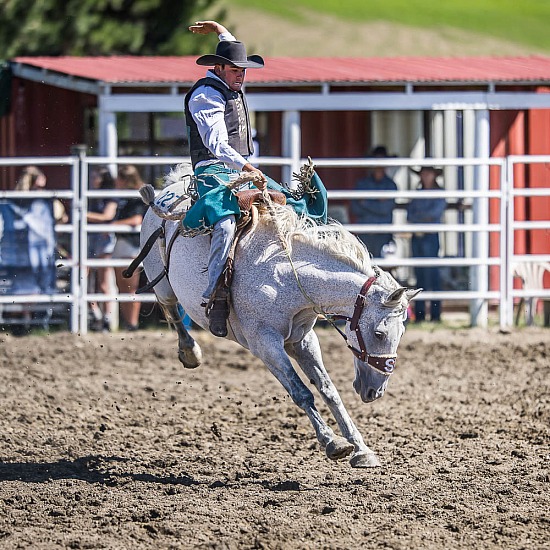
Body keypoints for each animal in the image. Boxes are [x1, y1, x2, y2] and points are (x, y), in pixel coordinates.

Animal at [139, 169, 422, 470]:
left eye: (401, 334)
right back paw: (190, 352)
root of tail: (172, 185)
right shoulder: (265, 344)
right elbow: (301, 392)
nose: (375, 391)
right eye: (379, 333)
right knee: (171, 312)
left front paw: (361, 449)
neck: (285, 276)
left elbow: (328, 390)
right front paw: (332, 443)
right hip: (163, 285)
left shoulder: (302, 340)